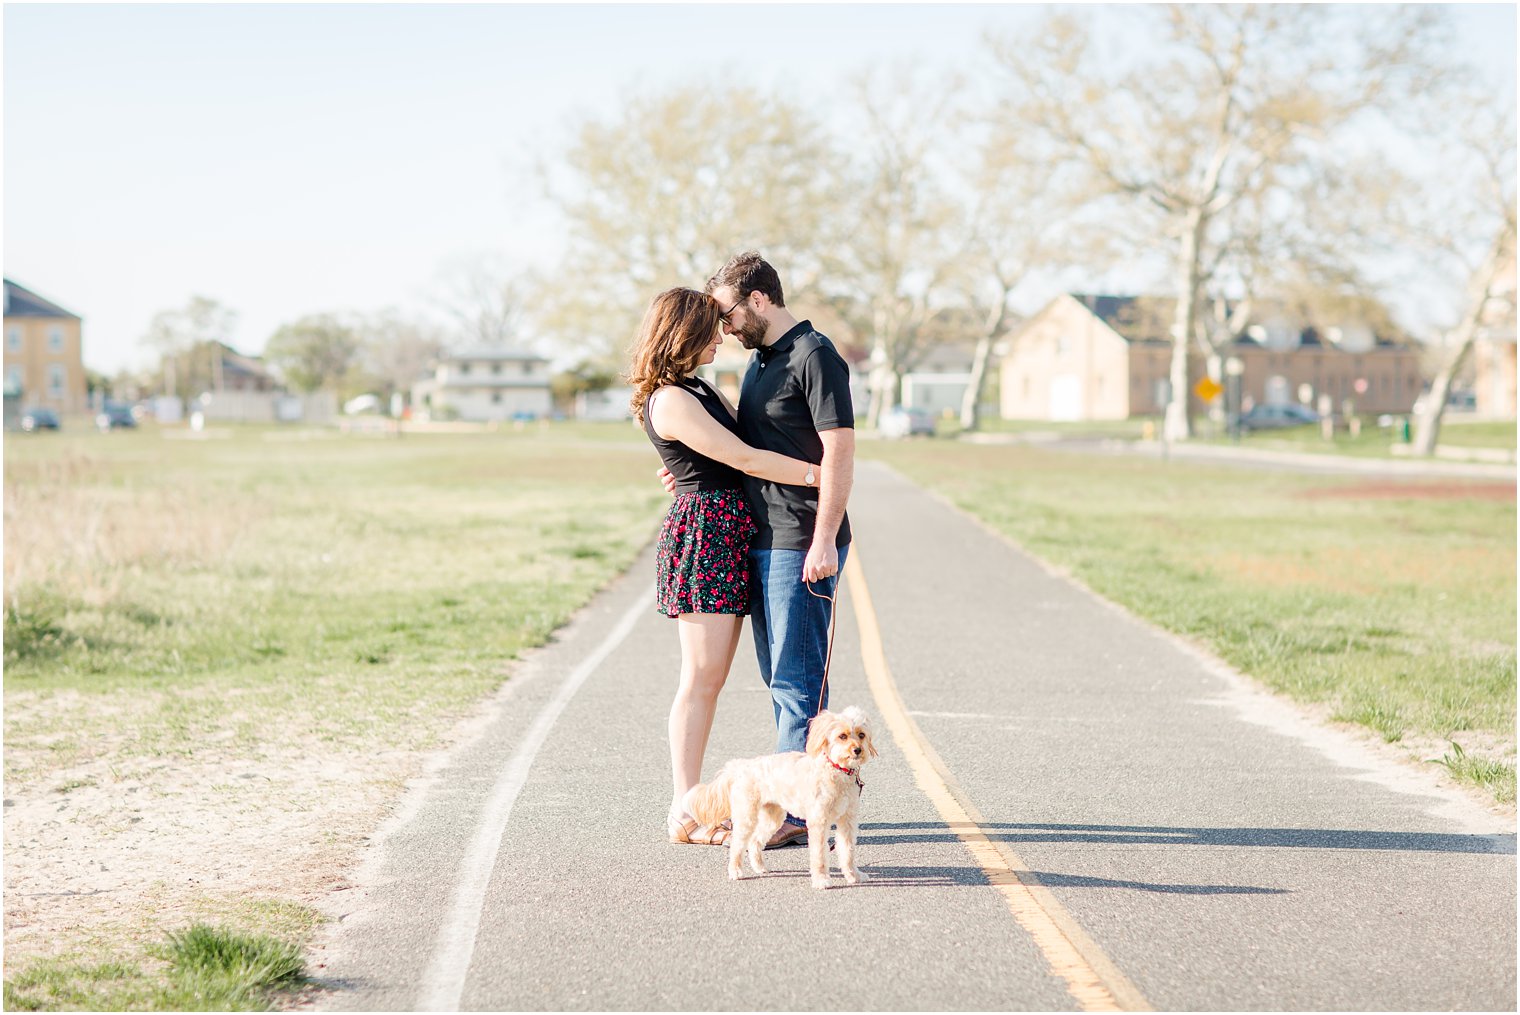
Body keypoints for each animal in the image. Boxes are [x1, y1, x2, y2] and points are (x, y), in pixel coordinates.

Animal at [680, 705, 875, 887]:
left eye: (861, 734)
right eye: (842, 736)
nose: (857, 750)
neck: (836, 771)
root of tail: (740, 766)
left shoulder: (847, 821)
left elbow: (848, 851)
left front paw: (854, 875)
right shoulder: (819, 822)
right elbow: (819, 854)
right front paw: (821, 880)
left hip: (773, 818)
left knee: (755, 841)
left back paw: (759, 867)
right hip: (746, 816)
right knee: (737, 844)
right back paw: (735, 870)